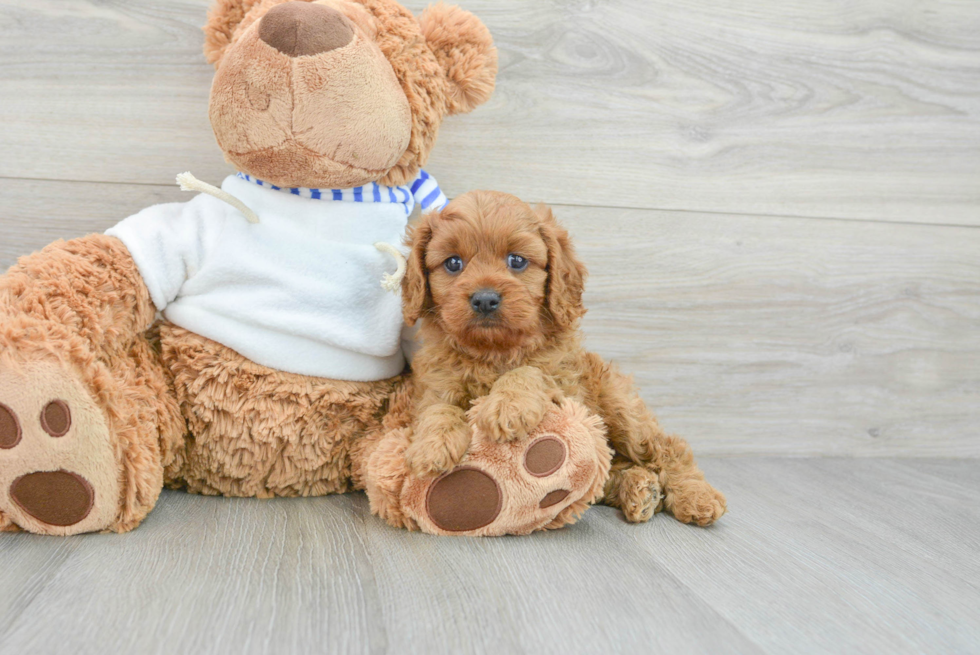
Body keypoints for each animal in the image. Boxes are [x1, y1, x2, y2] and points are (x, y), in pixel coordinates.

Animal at [400, 191, 728, 528]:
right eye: (453, 263)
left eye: (517, 260)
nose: (485, 299)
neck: (494, 351)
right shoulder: (437, 383)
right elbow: (437, 409)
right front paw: (431, 445)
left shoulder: (564, 383)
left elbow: (529, 371)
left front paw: (507, 406)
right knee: (608, 471)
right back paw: (640, 489)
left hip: (623, 412)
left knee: (667, 447)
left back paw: (695, 496)